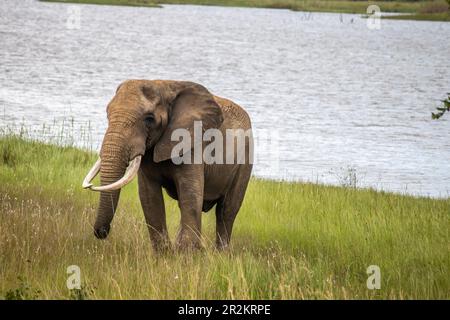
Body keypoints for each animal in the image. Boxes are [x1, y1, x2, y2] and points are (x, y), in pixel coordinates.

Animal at [83, 79, 253, 250]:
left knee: (227, 210)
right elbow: (149, 197)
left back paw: (220, 252)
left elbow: (190, 194)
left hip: (245, 158)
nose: (101, 232)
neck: (164, 86)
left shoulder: (191, 143)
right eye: (107, 114)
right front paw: (165, 253)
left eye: (149, 119)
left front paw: (188, 253)